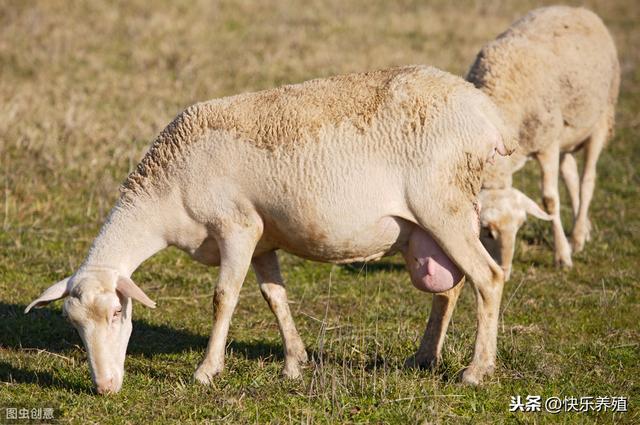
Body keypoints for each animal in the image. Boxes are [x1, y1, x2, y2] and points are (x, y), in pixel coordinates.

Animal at [25, 64, 516, 392]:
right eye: (72, 324)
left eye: (115, 314)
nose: (104, 387)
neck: (166, 195)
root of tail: (486, 113)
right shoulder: (262, 238)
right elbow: (274, 296)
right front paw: (294, 362)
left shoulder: (236, 227)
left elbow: (224, 297)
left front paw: (207, 370)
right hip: (435, 222)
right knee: (451, 287)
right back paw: (425, 357)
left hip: (444, 204)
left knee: (488, 279)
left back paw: (476, 371)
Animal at [464, 6, 620, 280]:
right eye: (487, 230)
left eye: (520, 227)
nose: (504, 272)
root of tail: (577, 9)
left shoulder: (547, 144)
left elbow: (550, 200)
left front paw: (563, 256)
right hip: (566, 134)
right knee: (570, 175)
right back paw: (583, 230)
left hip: (600, 119)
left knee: (587, 180)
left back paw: (576, 237)